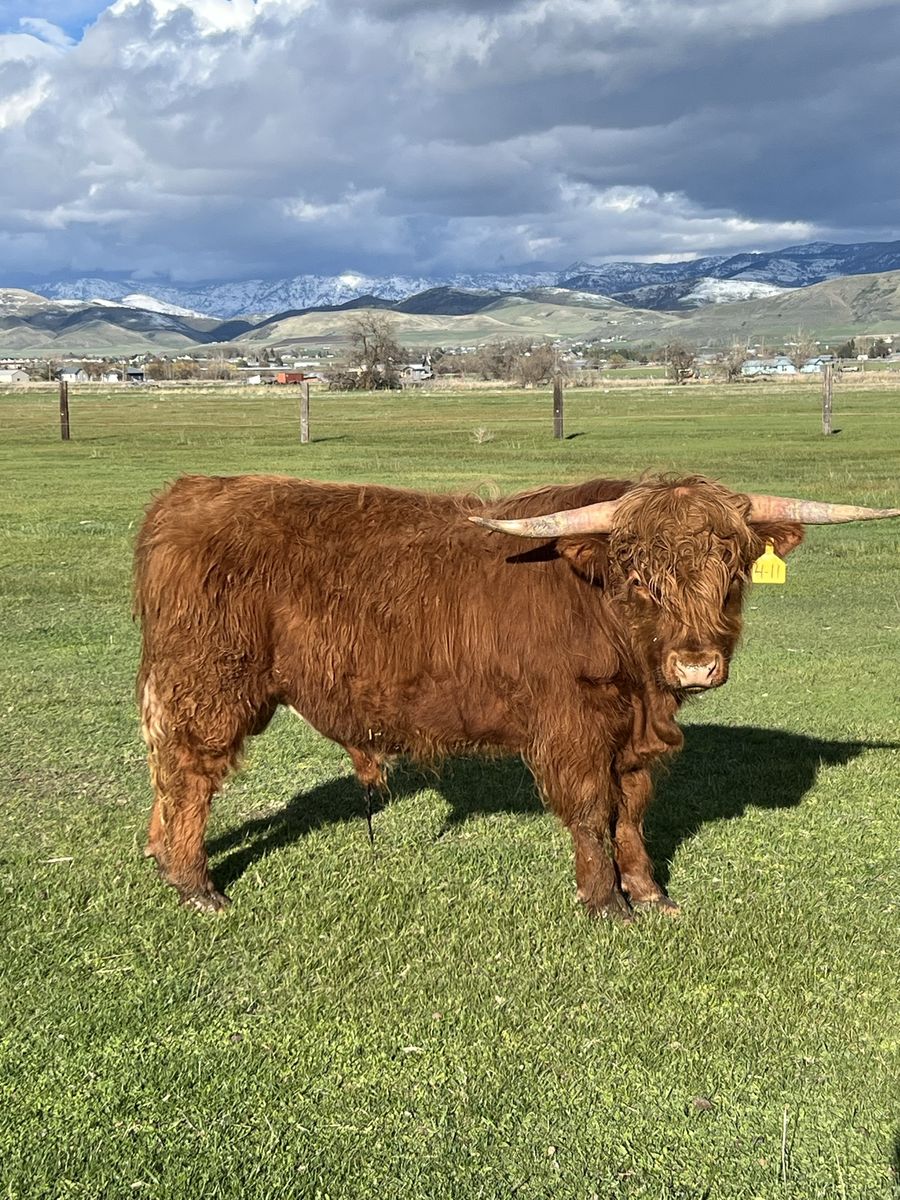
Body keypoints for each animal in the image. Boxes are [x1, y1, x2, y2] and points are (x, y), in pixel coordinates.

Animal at [134, 473, 899, 920]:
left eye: (733, 570)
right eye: (638, 574)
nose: (695, 666)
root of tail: (188, 493)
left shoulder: (633, 741)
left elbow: (632, 814)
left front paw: (651, 894)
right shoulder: (573, 730)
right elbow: (591, 813)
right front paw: (605, 904)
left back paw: (160, 859)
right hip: (210, 683)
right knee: (189, 774)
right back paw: (195, 884)